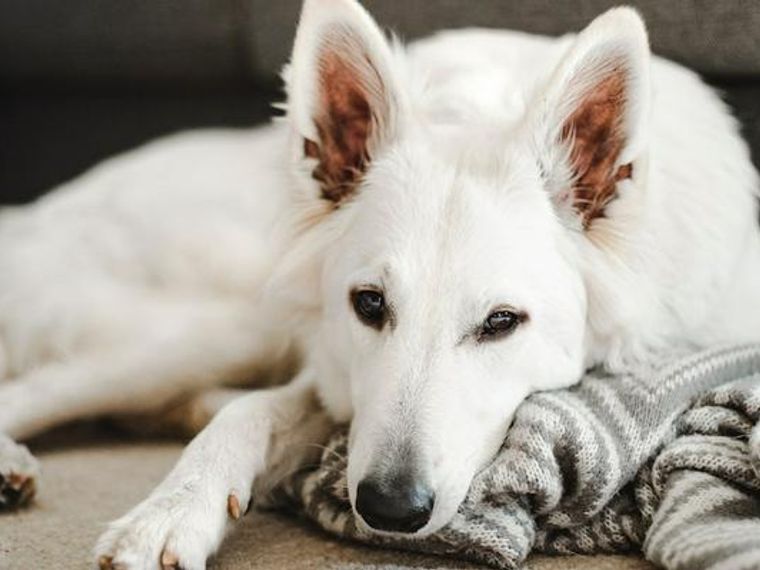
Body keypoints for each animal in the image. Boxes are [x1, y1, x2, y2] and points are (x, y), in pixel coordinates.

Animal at [1, 0, 760, 564]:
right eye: (369, 304)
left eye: (501, 322)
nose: (390, 508)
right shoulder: (331, 370)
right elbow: (250, 414)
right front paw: (171, 509)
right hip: (225, 322)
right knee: (43, 388)